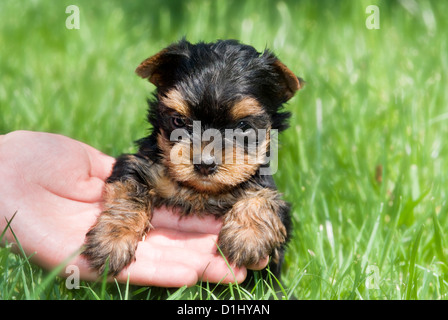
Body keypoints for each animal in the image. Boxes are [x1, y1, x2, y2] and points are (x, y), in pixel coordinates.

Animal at [83, 39, 304, 280]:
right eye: (179, 121)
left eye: (243, 127)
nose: (204, 164)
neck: (199, 192)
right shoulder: (134, 164)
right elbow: (128, 191)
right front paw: (111, 240)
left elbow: (266, 199)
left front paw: (248, 237)